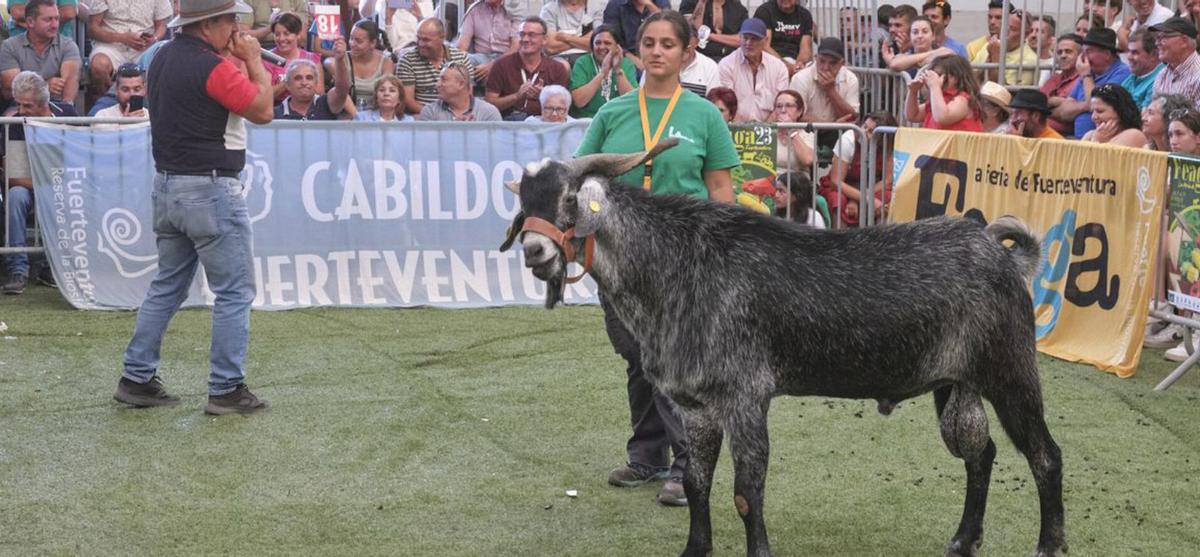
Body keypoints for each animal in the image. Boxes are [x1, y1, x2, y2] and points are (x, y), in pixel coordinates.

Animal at [501, 141, 1065, 554]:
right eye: (523, 205)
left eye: (569, 199)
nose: (535, 251)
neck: (679, 267)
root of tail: (1003, 256)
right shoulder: (697, 404)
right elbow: (698, 484)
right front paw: (695, 549)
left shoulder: (747, 393)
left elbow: (746, 493)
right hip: (954, 382)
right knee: (981, 453)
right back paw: (963, 540)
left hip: (1010, 369)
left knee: (1045, 455)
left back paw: (1048, 544)